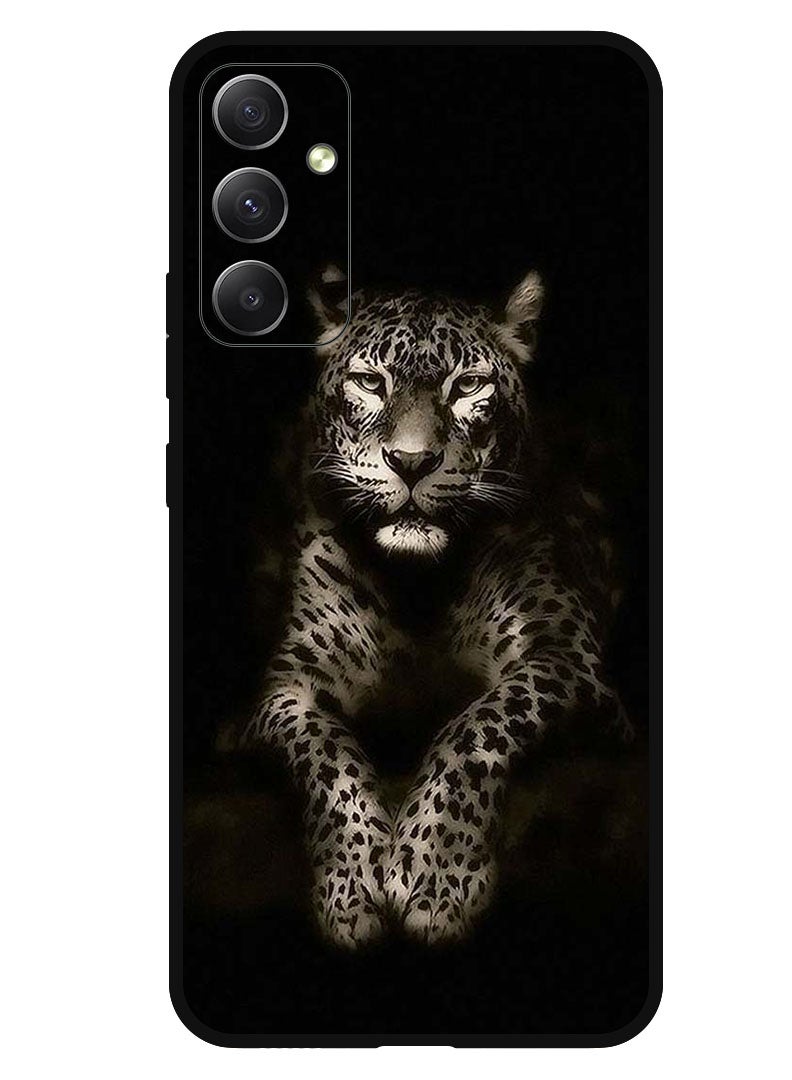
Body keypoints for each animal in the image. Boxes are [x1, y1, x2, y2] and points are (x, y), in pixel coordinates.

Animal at [240, 264, 633, 948]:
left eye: (467, 386)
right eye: (371, 383)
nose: (412, 461)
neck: (417, 588)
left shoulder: (566, 656)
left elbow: (477, 726)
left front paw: (434, 874)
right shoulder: (286, 686)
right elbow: (325, 752)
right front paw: (351, 885)